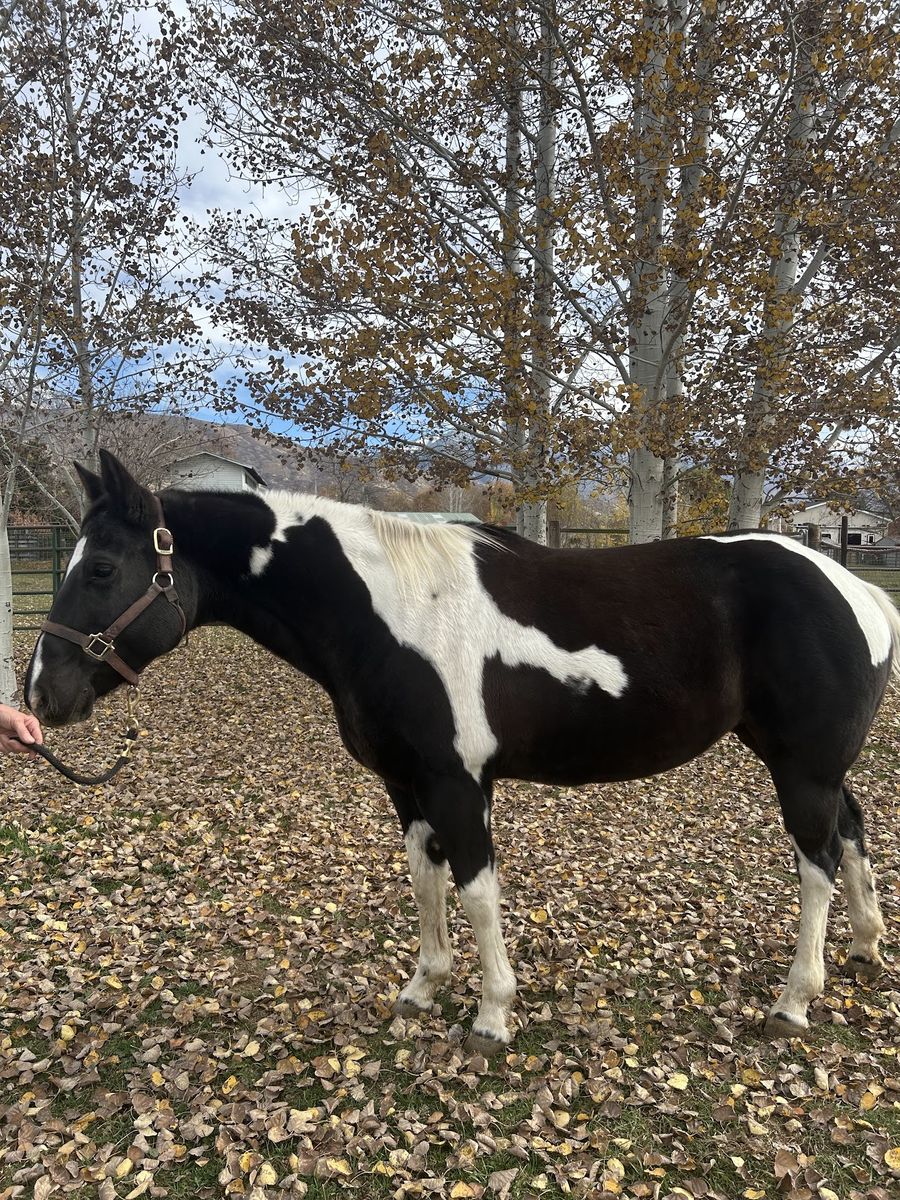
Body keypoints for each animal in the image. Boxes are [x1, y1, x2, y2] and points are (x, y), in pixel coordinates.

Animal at [24, 451, 898, 1054]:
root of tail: (856, 588)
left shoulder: (457, 784)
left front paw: (491, 1017)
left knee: (818, 862)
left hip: (801, 770)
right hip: (816, 767)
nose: (40, 695)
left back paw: (795, 1000)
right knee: (853, 833)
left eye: (103, 568)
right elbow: (426, 881)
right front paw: (423, 987)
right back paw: (865, 948)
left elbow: (477, 892)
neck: (390, 611)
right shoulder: (406, 787)